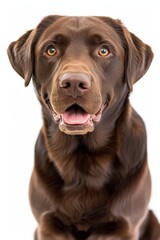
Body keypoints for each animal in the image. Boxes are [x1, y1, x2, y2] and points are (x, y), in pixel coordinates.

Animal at [7, 15, 160, 240]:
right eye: (51, 50)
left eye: (104, 50)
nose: (73, 83)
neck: (83, 160)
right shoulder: (47, 225)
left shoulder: (124, 226)